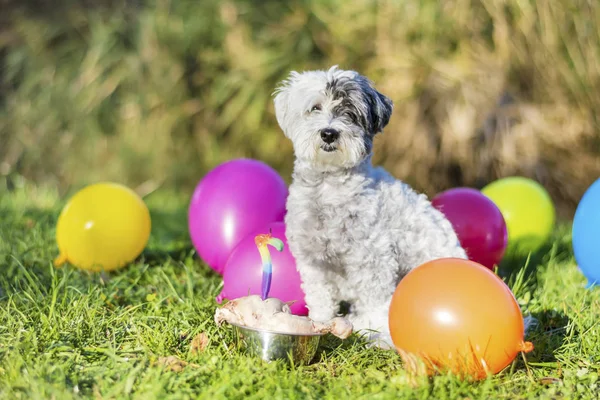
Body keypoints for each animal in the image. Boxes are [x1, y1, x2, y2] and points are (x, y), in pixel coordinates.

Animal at [274, 65, 466, 346]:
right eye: (315, 108)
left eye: (350, 112)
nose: (329, 133)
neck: (329, 189)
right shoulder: (312, 259)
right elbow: (319, 295)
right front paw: (319, 323)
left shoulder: (373, 256)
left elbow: (375, 297)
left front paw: (374, 330)